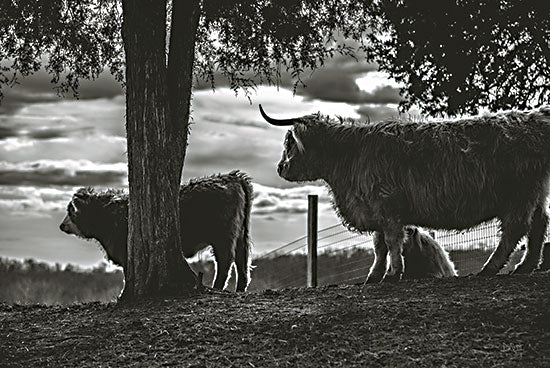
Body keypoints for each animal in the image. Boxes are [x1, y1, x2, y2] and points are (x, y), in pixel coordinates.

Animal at [60, 171, 254, 292]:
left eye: (71, 211)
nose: (61, 226)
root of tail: (232, 177)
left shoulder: (126, 252)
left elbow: (128, 275)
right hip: (240, 234)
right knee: (242, 259)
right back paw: (240, 289)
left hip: (223, 236)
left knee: (226, 261)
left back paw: (217, 287)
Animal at [262, 105, 550, 284]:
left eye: (289, 143)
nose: (280, 168)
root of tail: (534, 118)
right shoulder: (376, 210)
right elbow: (379, 246)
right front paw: (374, 276)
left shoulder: (386, 205)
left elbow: (391, 242)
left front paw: (393, 274)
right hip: (535, 192)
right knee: (538, 224)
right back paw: (525, 267)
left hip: (520, 193)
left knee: (516, 228)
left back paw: (489, 268)